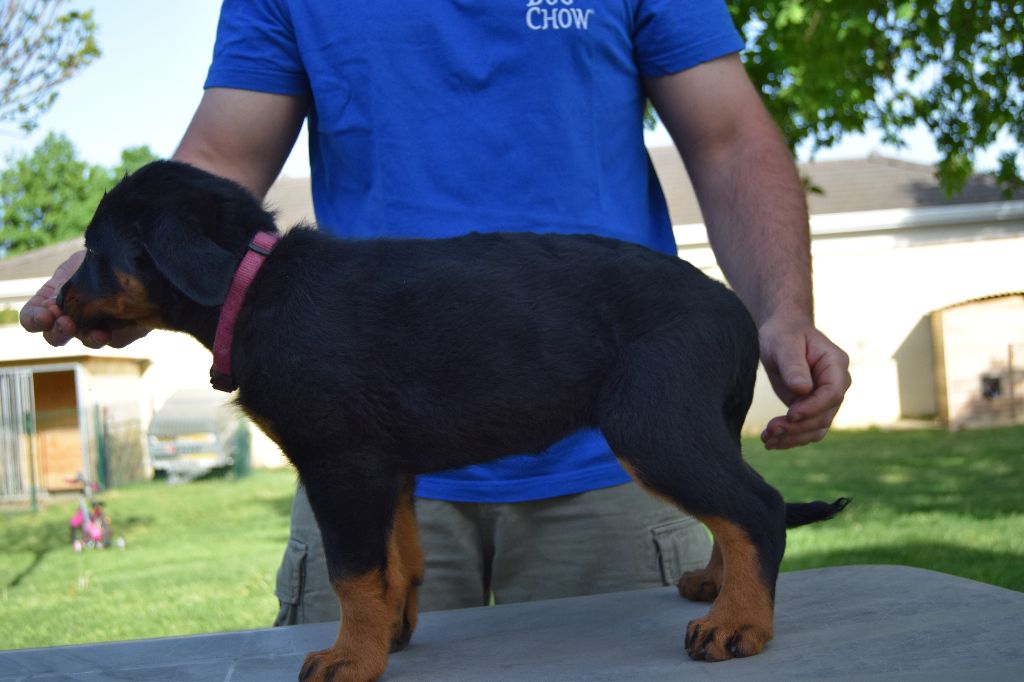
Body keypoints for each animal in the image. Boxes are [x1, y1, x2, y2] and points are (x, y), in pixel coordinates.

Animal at [56, 160, 843, 679]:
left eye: (94, 252)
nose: (56, 301)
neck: (253, 287)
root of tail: (736, 314)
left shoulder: (340, 464)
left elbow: (352, 572)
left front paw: (349, 658)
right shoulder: (388, 471)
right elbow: (398, 561)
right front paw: (390, 636)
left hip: (650, 423)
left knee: (756, 507)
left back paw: (739, 625)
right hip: (688, 427)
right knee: (730, 509)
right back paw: (715, 588)